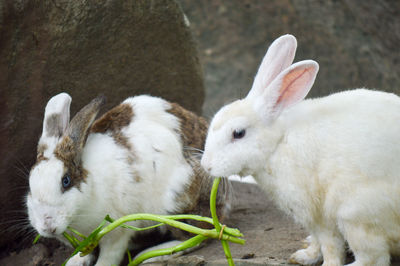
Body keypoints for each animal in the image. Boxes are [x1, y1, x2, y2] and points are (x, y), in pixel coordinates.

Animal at [27, 92, 231, 264]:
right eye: (30, 186)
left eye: (66, 181)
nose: (47, 225)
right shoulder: (88, 240)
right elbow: (86, 252)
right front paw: (74, 261)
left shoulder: (117, 230)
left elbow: (109, 257)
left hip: (179, 200)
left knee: (200, 234)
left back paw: (153, 254)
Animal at [202, 33, 400, 266]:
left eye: (238, 133)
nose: (206, 166)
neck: (278, 143)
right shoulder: (310, 218)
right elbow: (317, 242)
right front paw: (303, 256)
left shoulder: (318, 213)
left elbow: (330, 245)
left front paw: (325, 263)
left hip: (356, 215)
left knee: (373, 258)